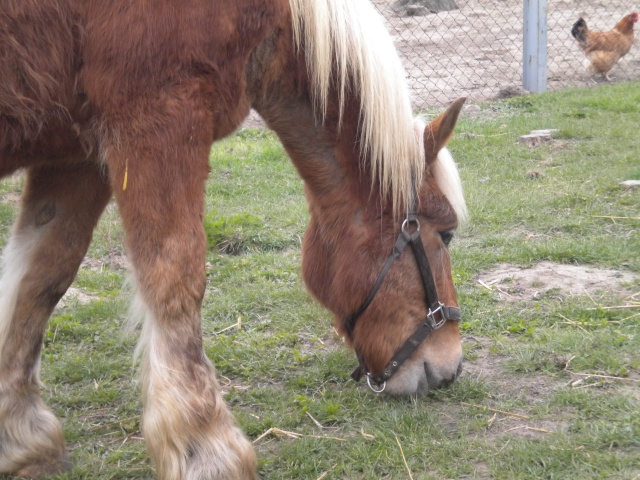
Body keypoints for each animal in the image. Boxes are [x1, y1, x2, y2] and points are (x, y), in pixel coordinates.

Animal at [0, 0, 468, 480]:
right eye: (446, 234)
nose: (450, 367)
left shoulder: (76, 156)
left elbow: (41, 280)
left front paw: (22, 436)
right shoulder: (159, 121)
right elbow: (176, 278)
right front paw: (205, 447)